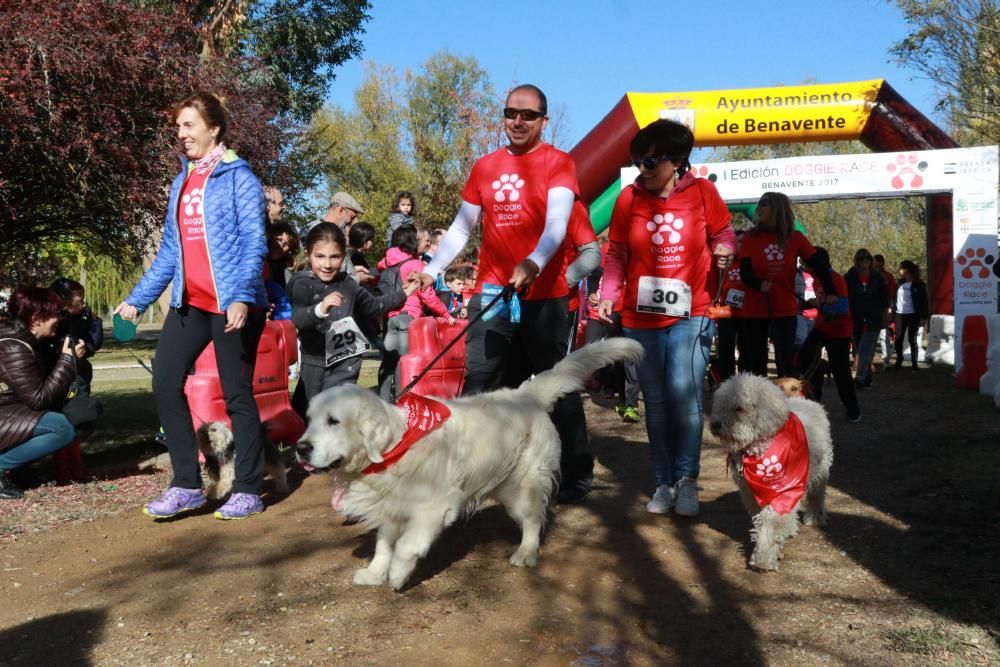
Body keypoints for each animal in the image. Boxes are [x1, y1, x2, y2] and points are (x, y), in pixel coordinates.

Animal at [292, 340, 644, 588]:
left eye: (334, 421)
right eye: (309, 420)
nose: (301, 448)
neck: (395, 447)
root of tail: (526, 394)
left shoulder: (434, 507)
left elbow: (406, 545)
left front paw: (398, 574)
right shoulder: (391, 506)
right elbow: (383, 543)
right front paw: (375, 572)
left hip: (523, 486)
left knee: (534, 519)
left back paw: (526, 552)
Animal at [712, 376, 836, 576]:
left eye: (739, 408)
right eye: (720, 405)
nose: (715, 424)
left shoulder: (783, 492)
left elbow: (771, 525)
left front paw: (762, 560)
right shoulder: (751, 494)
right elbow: (761, 519)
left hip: (820, 472)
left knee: (817, 496)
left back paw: (815, 518)